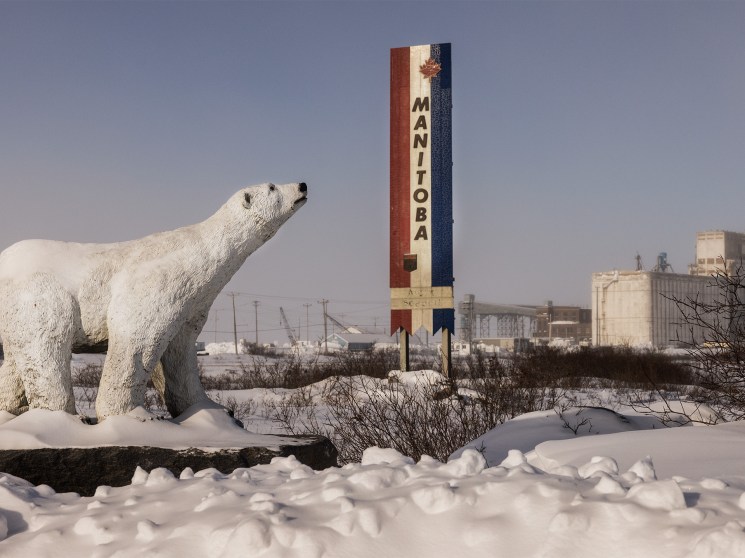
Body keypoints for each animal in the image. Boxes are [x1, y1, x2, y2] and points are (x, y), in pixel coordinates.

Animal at [0, 182, 307, 420]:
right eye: (271, 187)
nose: (302, 186)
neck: (196, 255)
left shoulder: (192, 303)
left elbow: (179, 353)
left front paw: (214, 410)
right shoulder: (158, 285)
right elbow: (136, 337)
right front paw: (130, 416)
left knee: (18, 359)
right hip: (39, 296)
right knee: (46, 346)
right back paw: (62, 416)